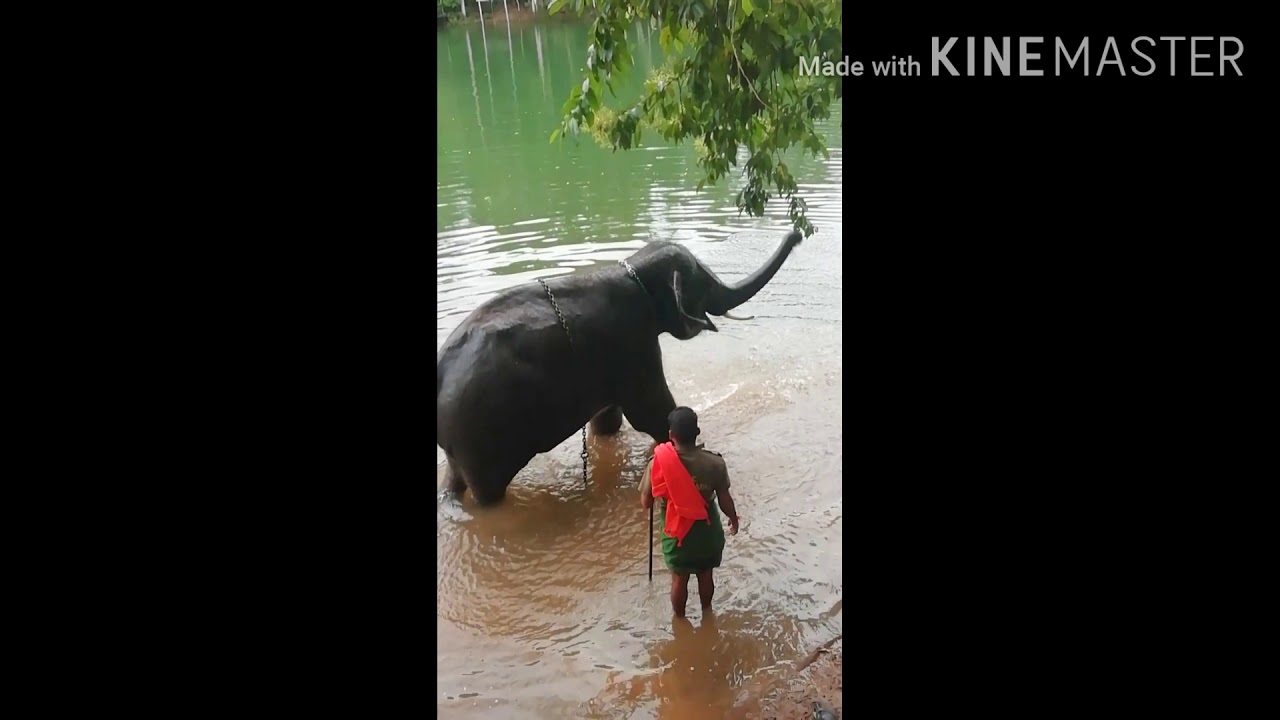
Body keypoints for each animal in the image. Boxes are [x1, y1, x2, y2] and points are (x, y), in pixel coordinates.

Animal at [440, 229, 798, 504]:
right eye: (706, 285)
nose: (796, 234)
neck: (634, 268)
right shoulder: (634, 341)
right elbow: (652, 411)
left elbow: (608, 421)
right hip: (481, 436)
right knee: (488, 493)